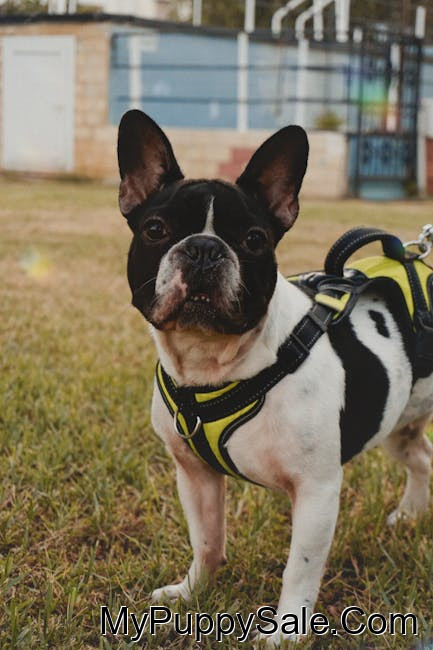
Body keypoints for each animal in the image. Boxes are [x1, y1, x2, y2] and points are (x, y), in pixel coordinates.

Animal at [117, 109, 433, 646]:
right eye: (156, 228)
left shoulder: (317, 492)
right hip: (398, 425)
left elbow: (299, 568)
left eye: (253, 240)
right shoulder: (194, 476)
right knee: (422, 459)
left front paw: (288, 632)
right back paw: (409, 515)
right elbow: (206, 540)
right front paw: (192, 592)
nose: (203, 248)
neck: (214, 364)